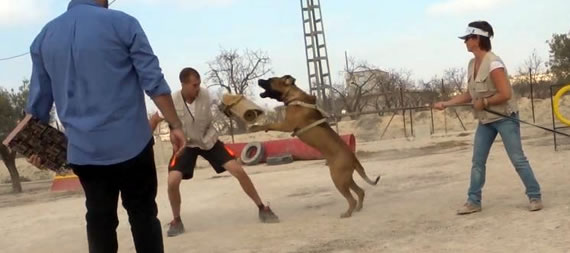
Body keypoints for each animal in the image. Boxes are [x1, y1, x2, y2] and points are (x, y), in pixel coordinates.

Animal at [252, 74, 378, 217]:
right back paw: (358, 208)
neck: (294, 97)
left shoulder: (286, 125)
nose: (259, 80)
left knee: (352, 199)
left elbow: (269, 124)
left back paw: (347, 213)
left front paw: (255, 127)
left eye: (270, 80)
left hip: (338, 178)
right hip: (346, 178)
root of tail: (353, 158)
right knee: (360, 191)